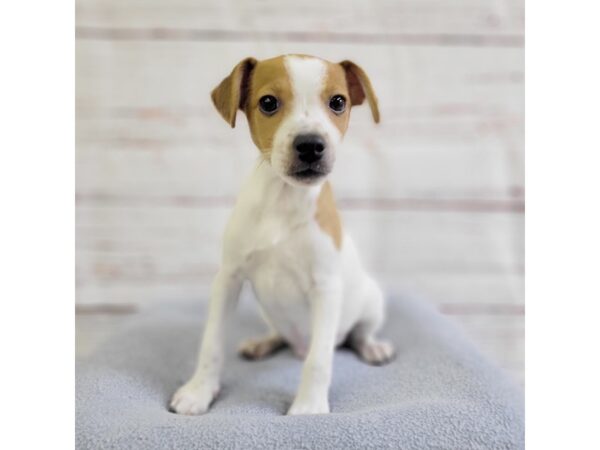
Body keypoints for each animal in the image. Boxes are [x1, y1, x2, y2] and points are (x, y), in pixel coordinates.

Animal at [169, 54, 394, 416]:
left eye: (338, 102)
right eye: (268, 103)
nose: (311, 145)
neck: (284, 199)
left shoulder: (326, 288)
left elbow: (319, 360)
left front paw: (309, 406)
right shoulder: (228, 279)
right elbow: (211, 343)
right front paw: (199, 391)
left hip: (371, 303)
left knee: (353, 336)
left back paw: (371, 347)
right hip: (270, 311)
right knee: (280, 334)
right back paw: (262, 343)